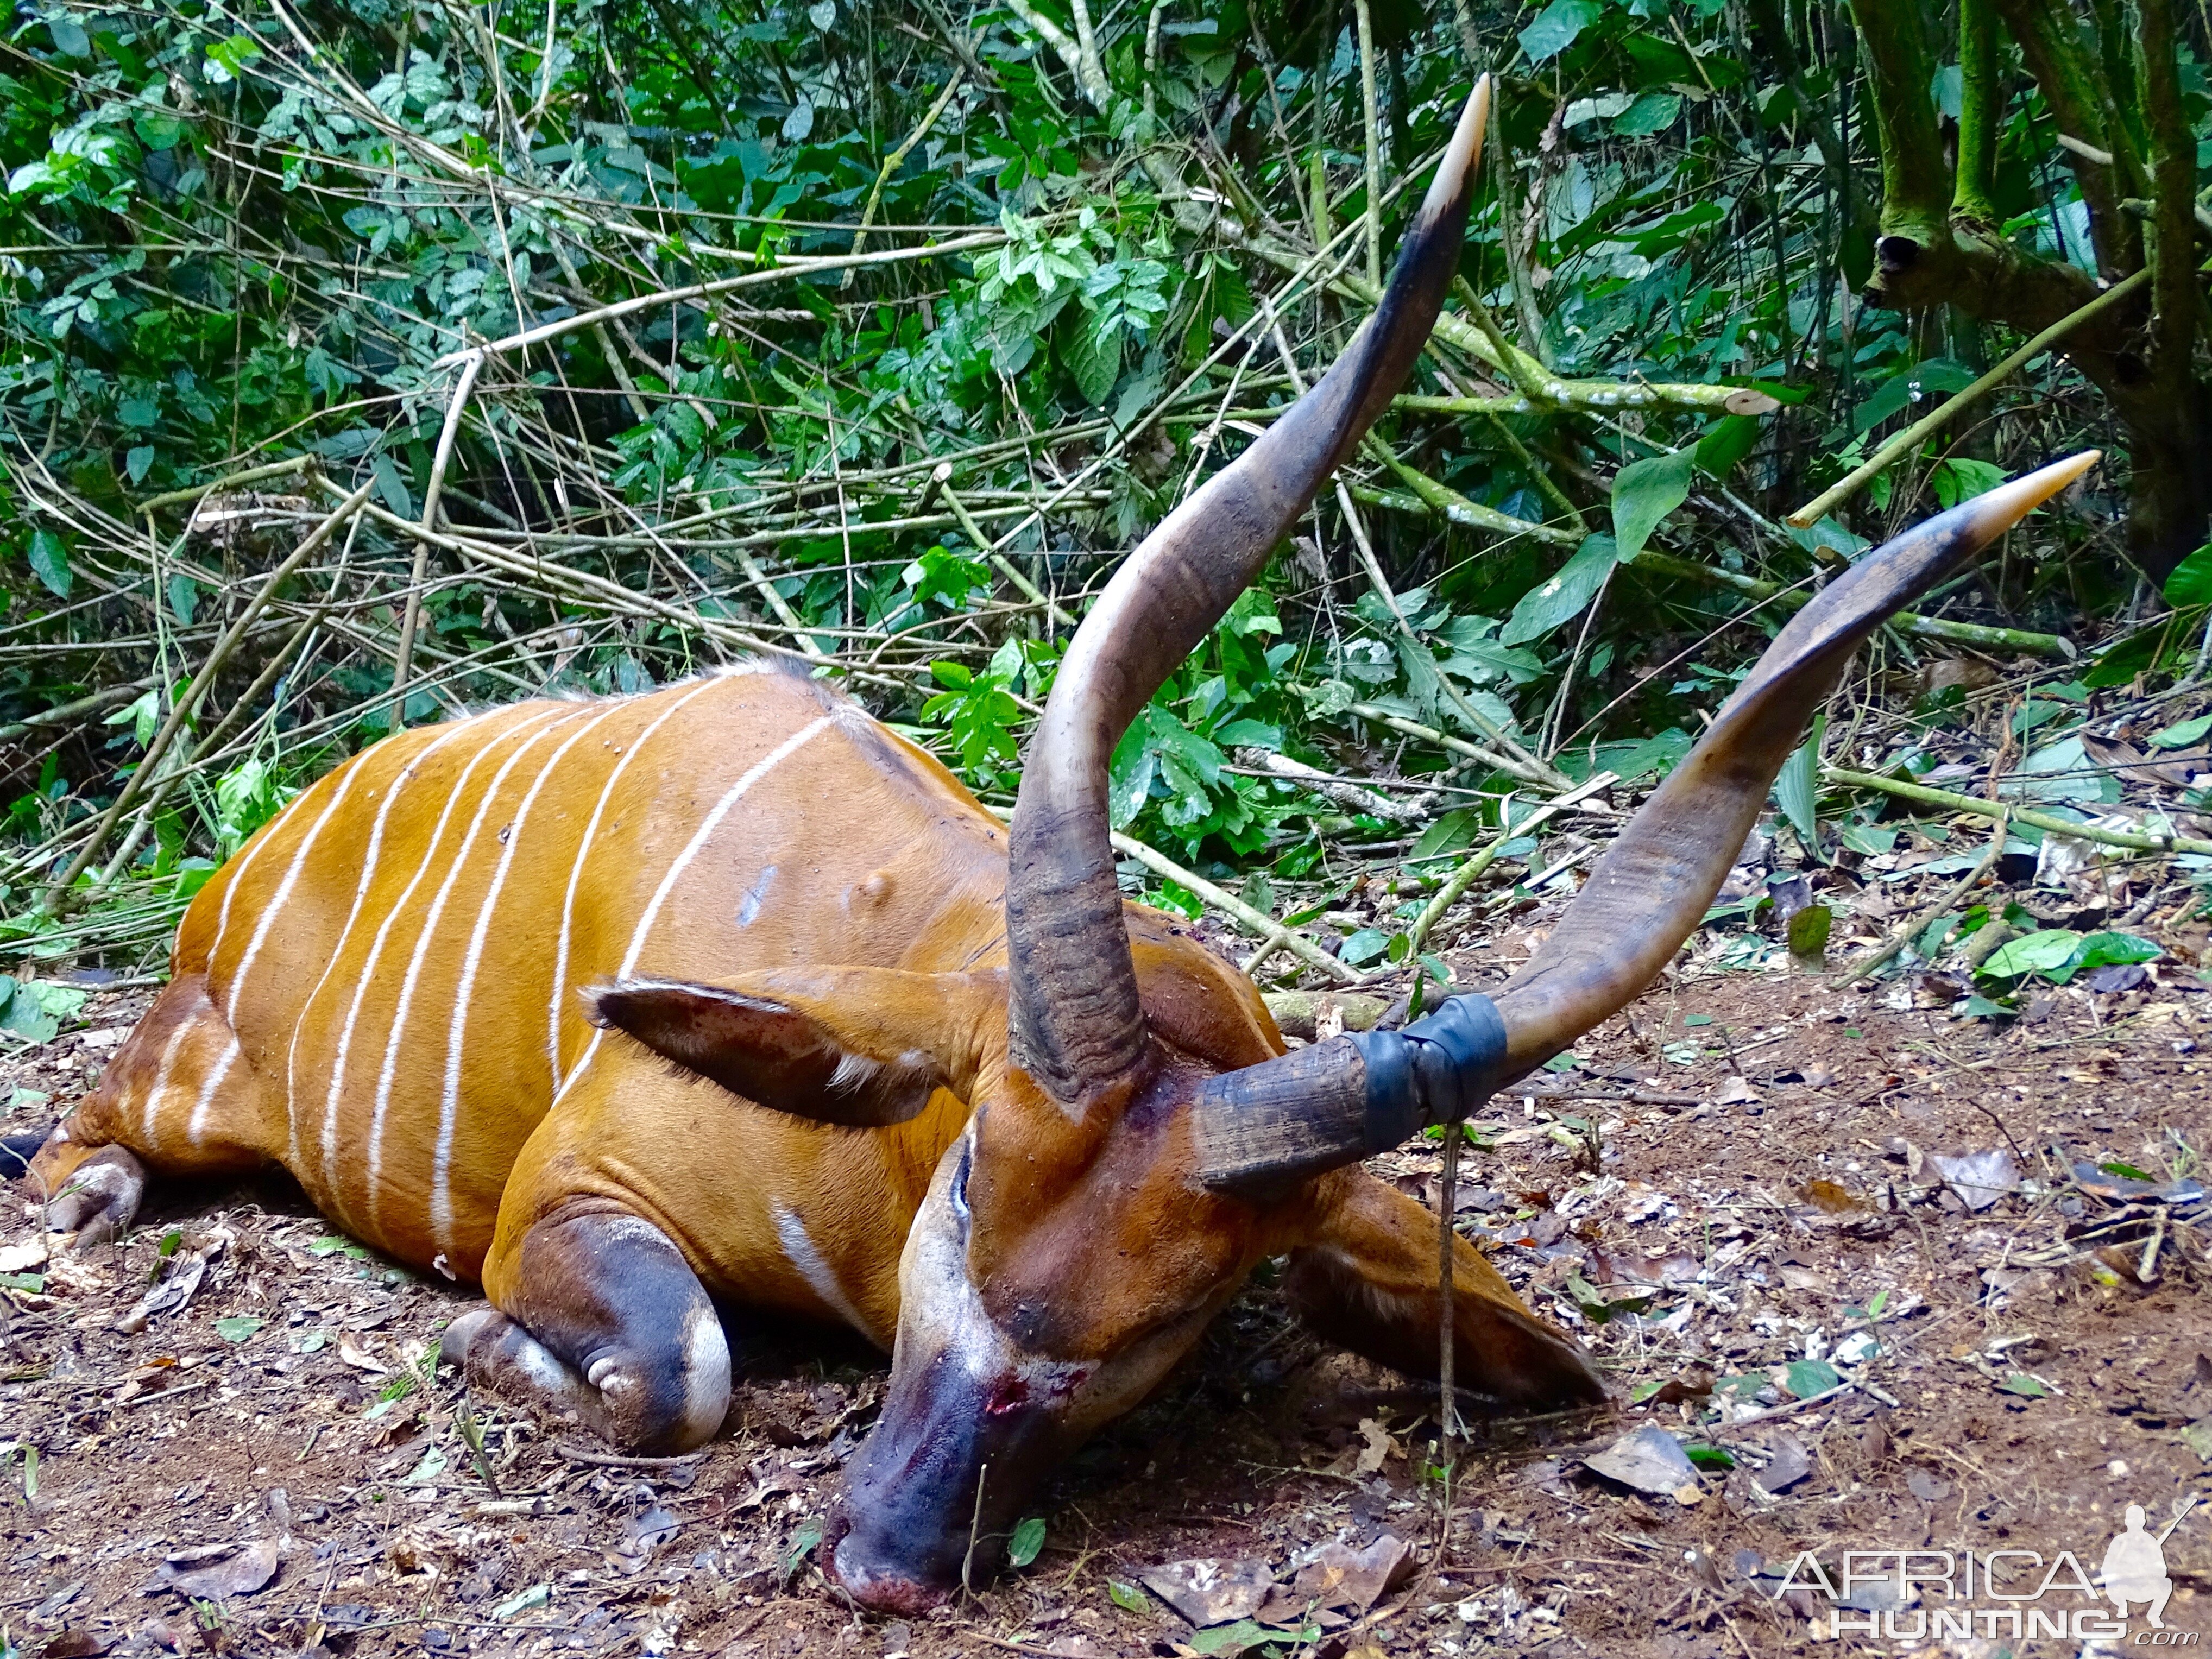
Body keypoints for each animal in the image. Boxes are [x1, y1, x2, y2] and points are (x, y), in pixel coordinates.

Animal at [12, 74, 2088, 1610]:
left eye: (1164, 1317)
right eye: (959, 1200)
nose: (874, 1557)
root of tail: (263, 845)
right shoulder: (569, 1188)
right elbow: (677, 1375)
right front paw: (492, 1357)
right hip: (194, 1066)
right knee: (87, 1118)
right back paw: (92, 1194)